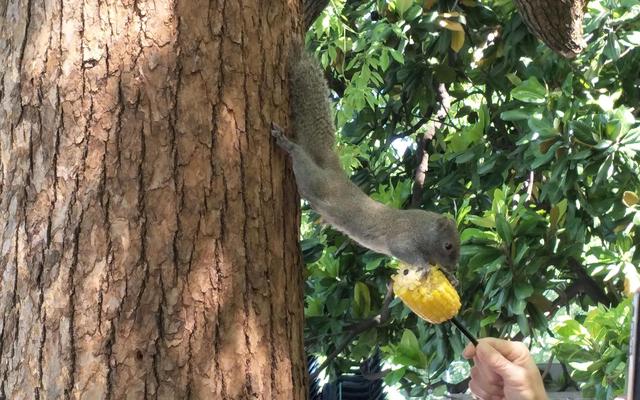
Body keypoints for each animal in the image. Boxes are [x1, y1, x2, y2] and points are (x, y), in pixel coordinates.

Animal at [272, 49, 460, 282]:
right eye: (448, 246)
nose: (454, 267)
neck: (422, 230)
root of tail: (334, 171)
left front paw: (449, 277)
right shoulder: (403, 240)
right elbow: (408, 254)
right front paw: (424, 267)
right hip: (315, 182)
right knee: (301, 163)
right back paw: (287, 144)